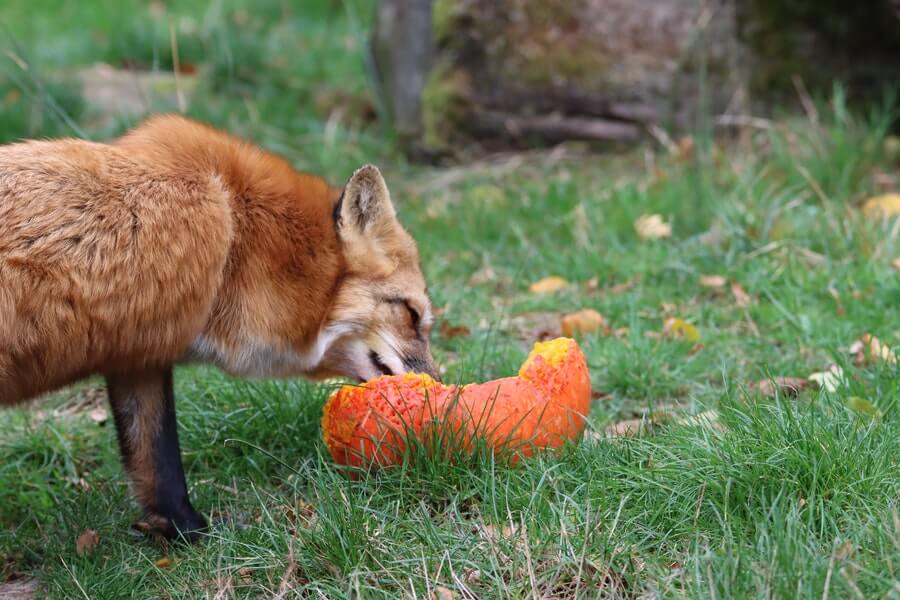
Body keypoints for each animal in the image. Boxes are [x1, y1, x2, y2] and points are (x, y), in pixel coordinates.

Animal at [0, 115, 436, 540]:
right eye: (412, 315)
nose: (439, 390)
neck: (237, 239)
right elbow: (163, 453)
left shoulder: (136, 353)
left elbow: (157, 460)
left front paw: (182, 531)